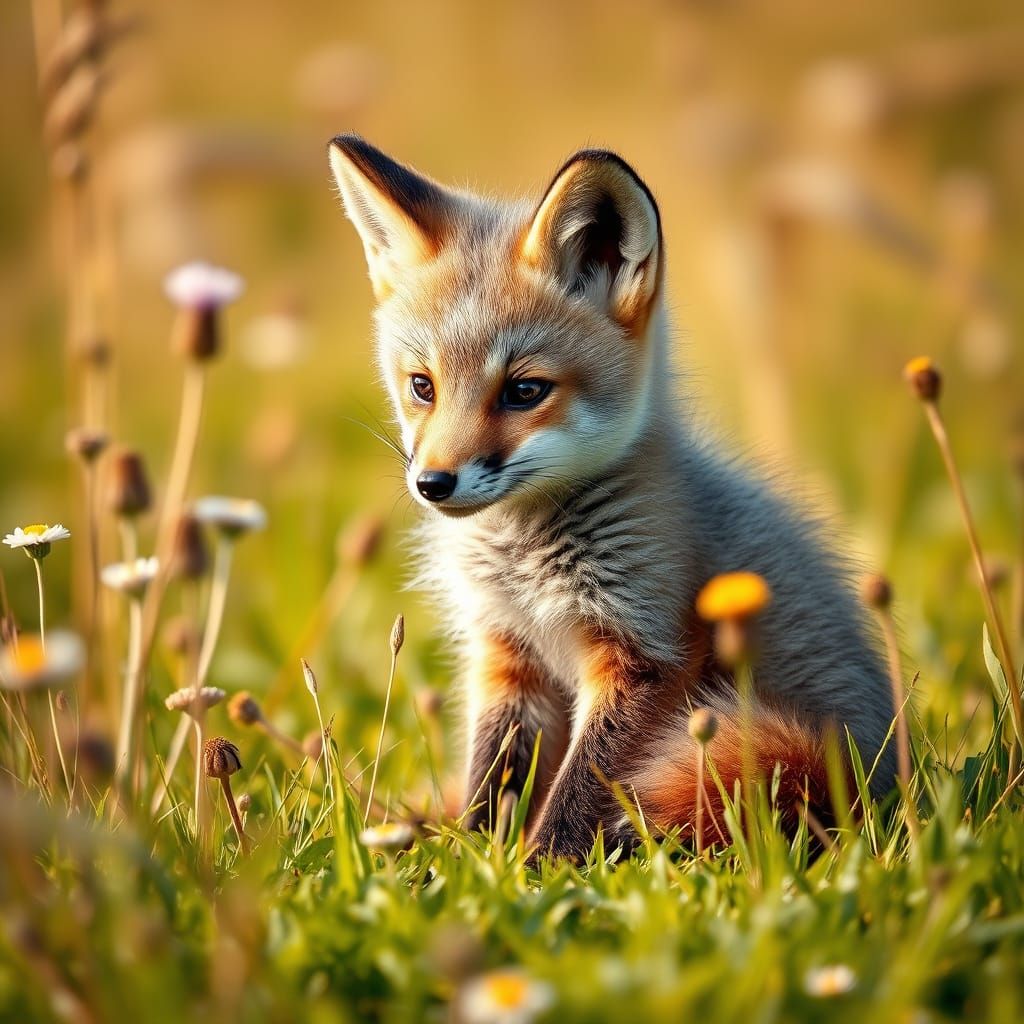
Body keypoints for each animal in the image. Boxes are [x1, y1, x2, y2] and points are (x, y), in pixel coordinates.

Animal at [327, 135, 897, 861]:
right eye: (422, 386)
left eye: (524, 391)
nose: (432, 483)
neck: (526, 568)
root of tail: (888, 776)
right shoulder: (509, 656)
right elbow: (491, 790)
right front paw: (467, 865)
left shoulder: (646, 653)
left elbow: (575, 798)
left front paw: (534, 870)